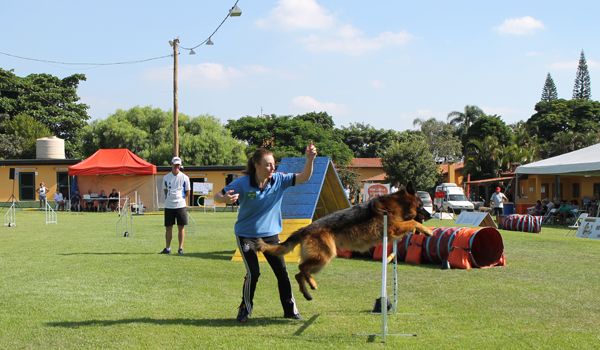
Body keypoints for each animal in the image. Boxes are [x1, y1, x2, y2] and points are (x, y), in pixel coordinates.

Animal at [258, 183, 432, 300]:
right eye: (422, 205)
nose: (430, 215)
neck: (397, 205)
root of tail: (305, 229)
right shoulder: (394, 227)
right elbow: (412, 222)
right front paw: (428, 230)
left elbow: (411, 224)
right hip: (324, 256)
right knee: (301, 268)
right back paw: (312, 284)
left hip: (320, 261)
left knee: (298, 274)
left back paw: (307, 292)